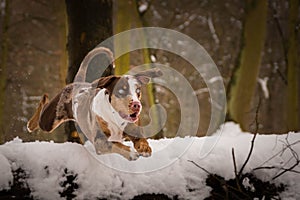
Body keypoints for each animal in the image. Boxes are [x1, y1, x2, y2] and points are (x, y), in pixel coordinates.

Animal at [27, 46, 163, 160]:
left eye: (138, 91)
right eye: (121, 90)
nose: (136, 105)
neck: (115, 118)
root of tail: (77, 83)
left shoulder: (133, 128)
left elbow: (141, 139)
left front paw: (145, 148)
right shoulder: (100, 141)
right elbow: (113, 144)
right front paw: (130, 152)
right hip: (50, 119)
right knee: (42, 108)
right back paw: (31, 123)